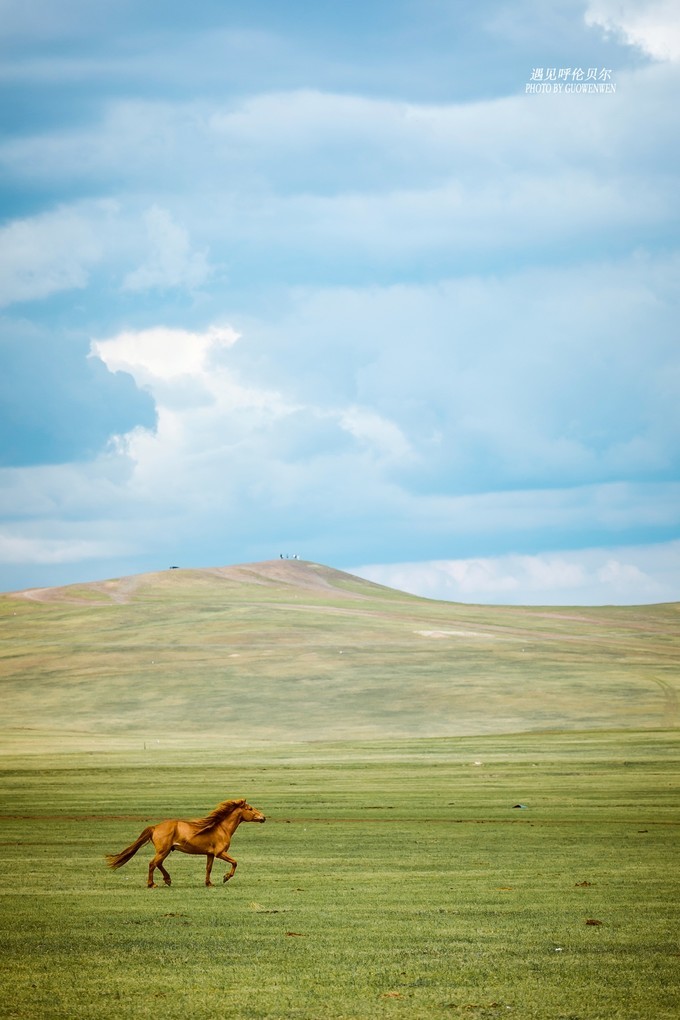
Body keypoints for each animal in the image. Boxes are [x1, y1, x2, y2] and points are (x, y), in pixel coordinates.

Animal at [105, 795, 265, 885]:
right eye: (250, 809)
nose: (263, 817)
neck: (221, 828)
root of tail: (155, 827)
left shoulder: (210, 854)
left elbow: (208, 868)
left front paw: (209, 883)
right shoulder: (220, 853)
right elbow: (235, 862)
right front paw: (226, 877)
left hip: (167, 850)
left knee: (158, 864)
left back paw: (168, 879)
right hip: (163, 851)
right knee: (152, 864)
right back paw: (152, 884)